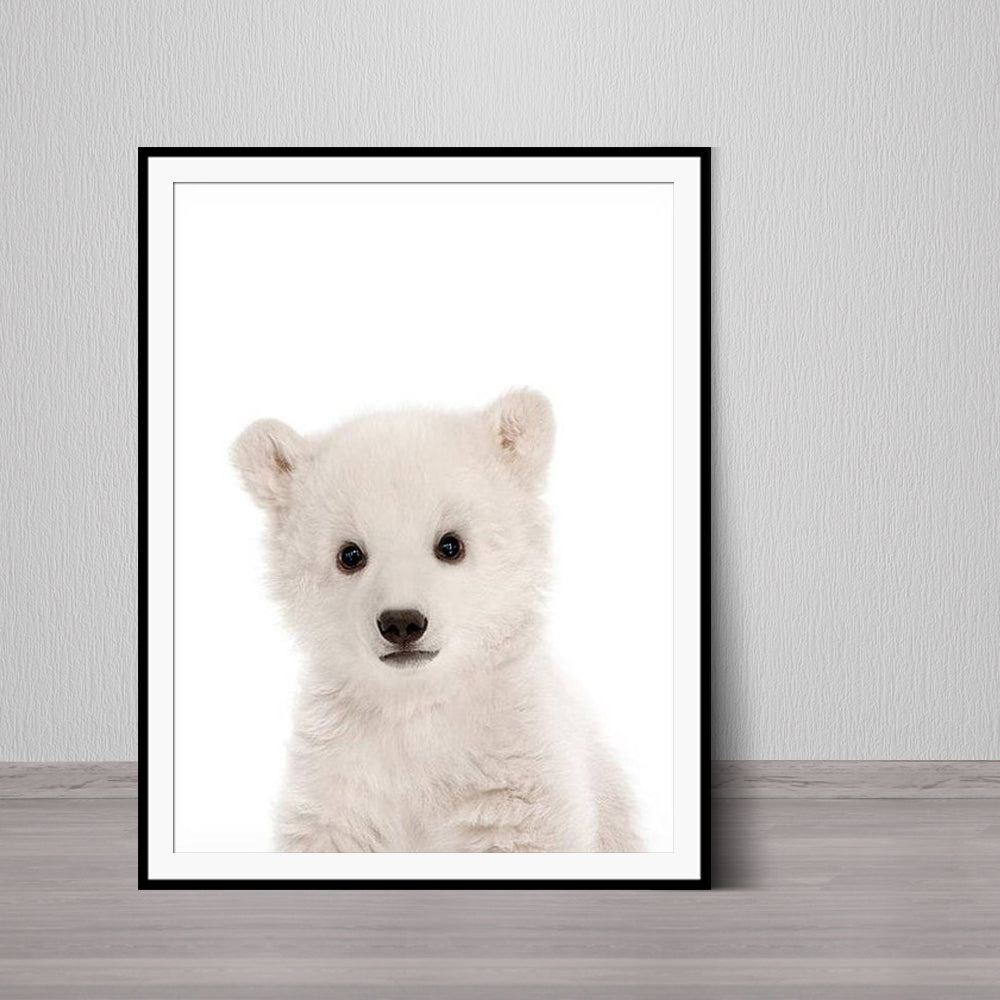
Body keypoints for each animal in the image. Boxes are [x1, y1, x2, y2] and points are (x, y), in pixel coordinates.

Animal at [232, 389, 641, 853]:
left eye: (450, 544)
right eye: (349, 554)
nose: (402, 623)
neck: (417, 703)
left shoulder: (516, 764)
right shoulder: (339, 775)